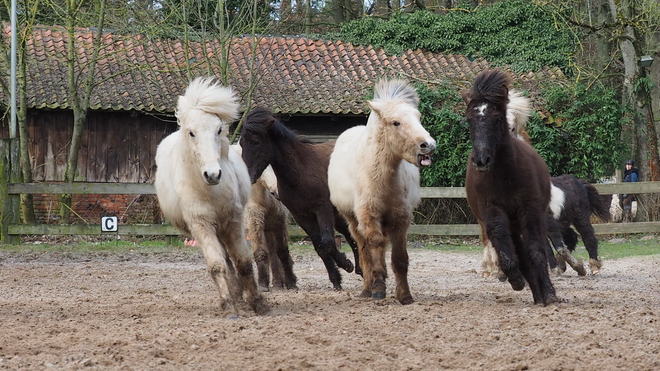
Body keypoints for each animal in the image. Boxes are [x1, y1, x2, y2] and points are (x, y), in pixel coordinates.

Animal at [155, 77, 268, 318]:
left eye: (218, 130)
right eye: (191, 132)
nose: (213, 174)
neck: (210, 191)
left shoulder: (234, 221)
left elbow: (244, 262)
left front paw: (258, 303)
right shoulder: (202, 225)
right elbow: (217, 265)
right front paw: (229, 306)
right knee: (224, 260)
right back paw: (235, 295)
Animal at [231, 144, 296, 292]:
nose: (278, 191)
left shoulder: (279, 220)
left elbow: (282, 252)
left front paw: (291, 282)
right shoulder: (254, 220)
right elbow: (260, 252)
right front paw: (262, 284)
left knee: (273, 252)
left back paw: (279, 282)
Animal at [238, 106, 360, 292]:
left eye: (256, 141)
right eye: (241, 143)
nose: (247, 177)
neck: (300, 171)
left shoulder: (322, 208)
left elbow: (328, 242)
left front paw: (346, 264)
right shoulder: (301, 216)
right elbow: (320, 247)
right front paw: (336, 278)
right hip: (338, 213)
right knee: (349, 232)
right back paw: (360, 268)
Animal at [326, 79, 438, 306]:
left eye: (418, 117)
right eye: (396, 123)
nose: (428, 145)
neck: (382, 180)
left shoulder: (401, 220)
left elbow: (400, 259)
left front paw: (405, 296)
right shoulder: (369, 217)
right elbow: (374, 250)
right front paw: (378, 288)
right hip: (353, 222)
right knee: (364, 251)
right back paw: (367, 289)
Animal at [462, 69, 560, 306]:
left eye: (497, 118)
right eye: (469, 120)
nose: (481, 161)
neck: (505, 176)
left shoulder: (530, 212)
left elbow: (536, 252)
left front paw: (549, 295)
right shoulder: (493, 212)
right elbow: (508, 253)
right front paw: (515, 279)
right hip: (512, 223)